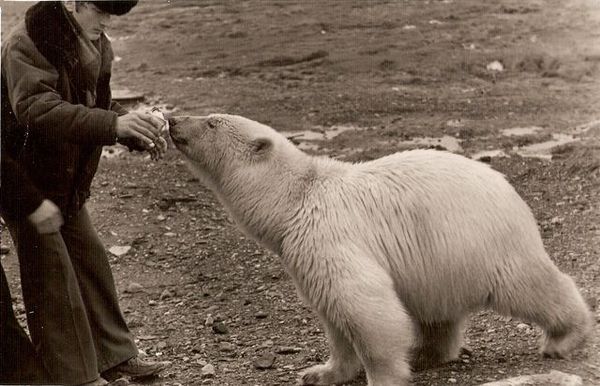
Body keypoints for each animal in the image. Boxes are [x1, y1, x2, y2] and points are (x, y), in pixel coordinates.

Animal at [168, 113, 592, 384]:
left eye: (211, 121)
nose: (172, 120)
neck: (295, 199)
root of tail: (509, 189)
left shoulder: (329, 236)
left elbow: (363, 306)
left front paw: (382, 375)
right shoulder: (303, 253)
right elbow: (333, 316)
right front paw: (319, 373)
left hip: (481, 241)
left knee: (528, 285)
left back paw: (564, 338)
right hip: (438, 263)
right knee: (437, 310)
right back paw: (427, 352)